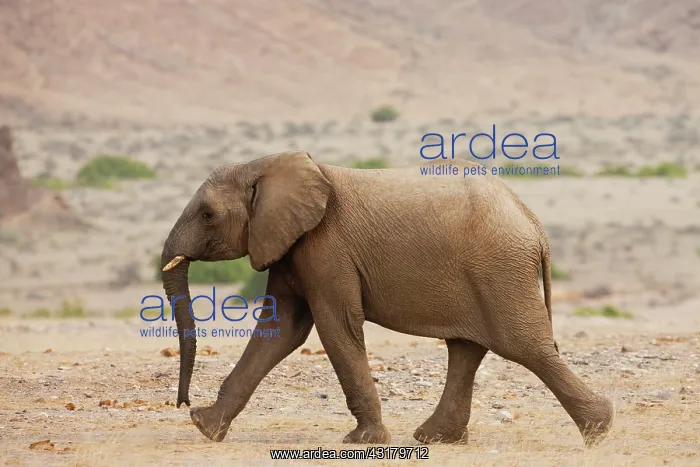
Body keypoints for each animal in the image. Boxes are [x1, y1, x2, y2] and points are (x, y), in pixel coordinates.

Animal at [160, 150, 614, 447]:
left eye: (207, 215)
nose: (182, 403)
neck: (268, 167)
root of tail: (533, 223)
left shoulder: (326, 248)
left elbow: (335, 327)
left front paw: (362, 442)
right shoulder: (290, 247)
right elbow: (282, 330)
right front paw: (205, 427)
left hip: (500, 268)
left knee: (525, 346)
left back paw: (599, 431)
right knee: (467, 349)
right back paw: (435, 438)